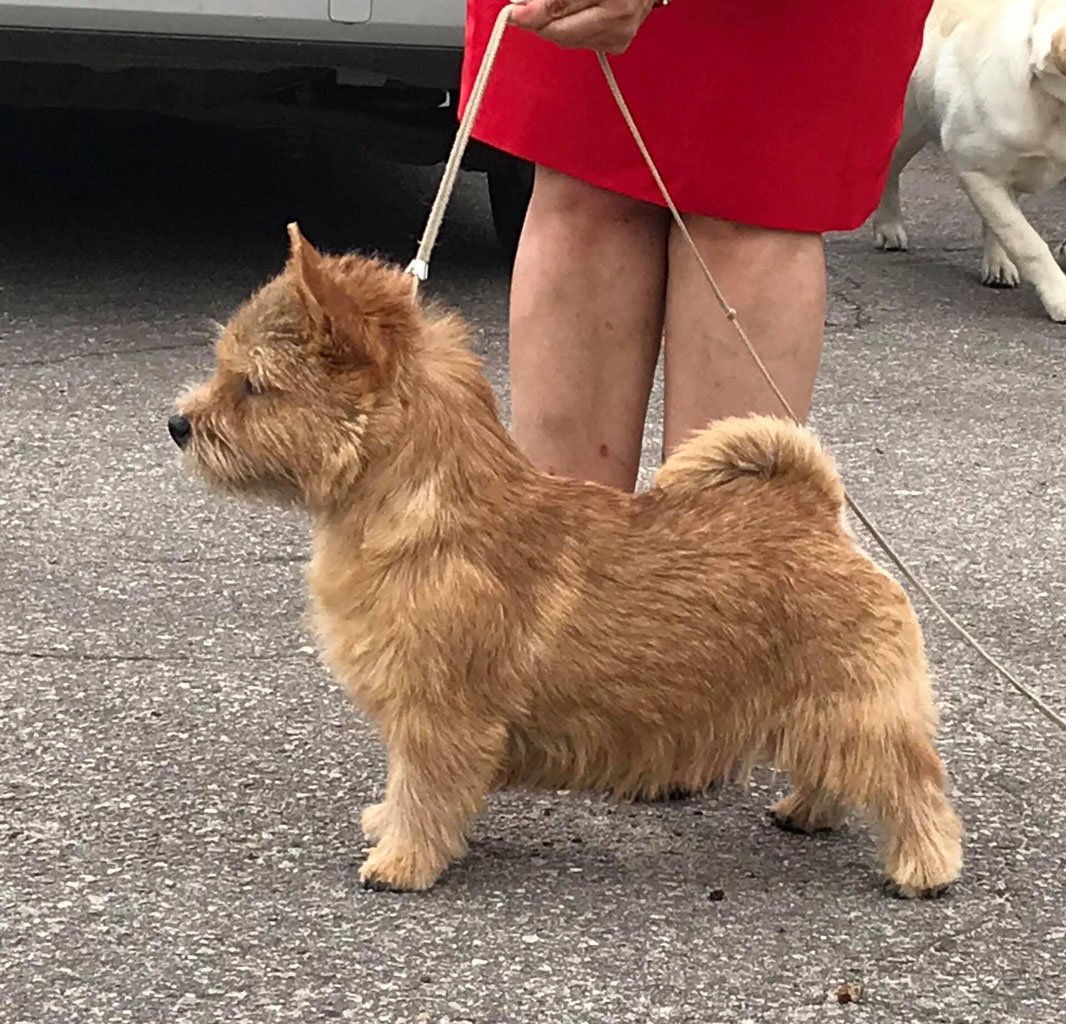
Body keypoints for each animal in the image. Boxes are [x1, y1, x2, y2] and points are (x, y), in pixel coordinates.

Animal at [170, 223, 963, 895]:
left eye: (254, 385)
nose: (178, 423)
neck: (424, 510)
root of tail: (815, 511)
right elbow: (405, 785)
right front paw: (386, 825)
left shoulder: (437, 714)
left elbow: (423, 791)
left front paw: (401, 861)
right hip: (818, 706)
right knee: (835, 769)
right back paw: (806, 810)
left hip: (857, 705)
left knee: (911, 784)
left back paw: (925, 868)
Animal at [869, 0, 1066, 319]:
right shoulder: (975, 170)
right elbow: (1026, 241)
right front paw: (1059, 297)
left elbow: (1004, 225)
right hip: (909, 125)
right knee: (890, 168)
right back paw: (889, 226)